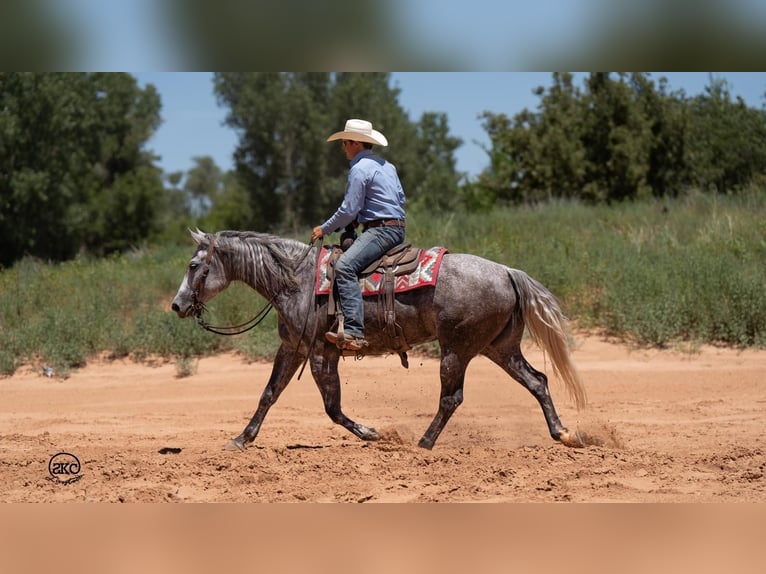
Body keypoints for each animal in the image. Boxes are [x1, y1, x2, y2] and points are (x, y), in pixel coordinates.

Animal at [170, 232, 588, 452]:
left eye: (193, 266)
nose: (177, 305)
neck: (296, 281)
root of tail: (506, 272)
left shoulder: (321, 353)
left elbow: (332, 408)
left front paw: (373, 433)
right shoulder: (291, 350)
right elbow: (268, 394)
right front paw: (241, 439)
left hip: (457, 349)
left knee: (451, 398)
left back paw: (423, 443)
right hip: (498, 347)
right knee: (538, 381)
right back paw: (563, 433)